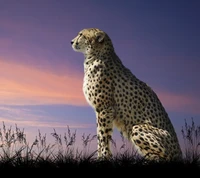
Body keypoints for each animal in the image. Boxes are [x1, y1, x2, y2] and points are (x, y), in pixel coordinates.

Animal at [71, 27, 182, 161]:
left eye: (81, 34)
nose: (71, 42)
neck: (95, 55)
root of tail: (179, 152)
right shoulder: (101, 110)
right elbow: (100, 136)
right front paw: (101, 156)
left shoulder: (105, 108)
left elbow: (103, 136)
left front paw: (104, 157)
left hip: (137, 128)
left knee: (162, 156)